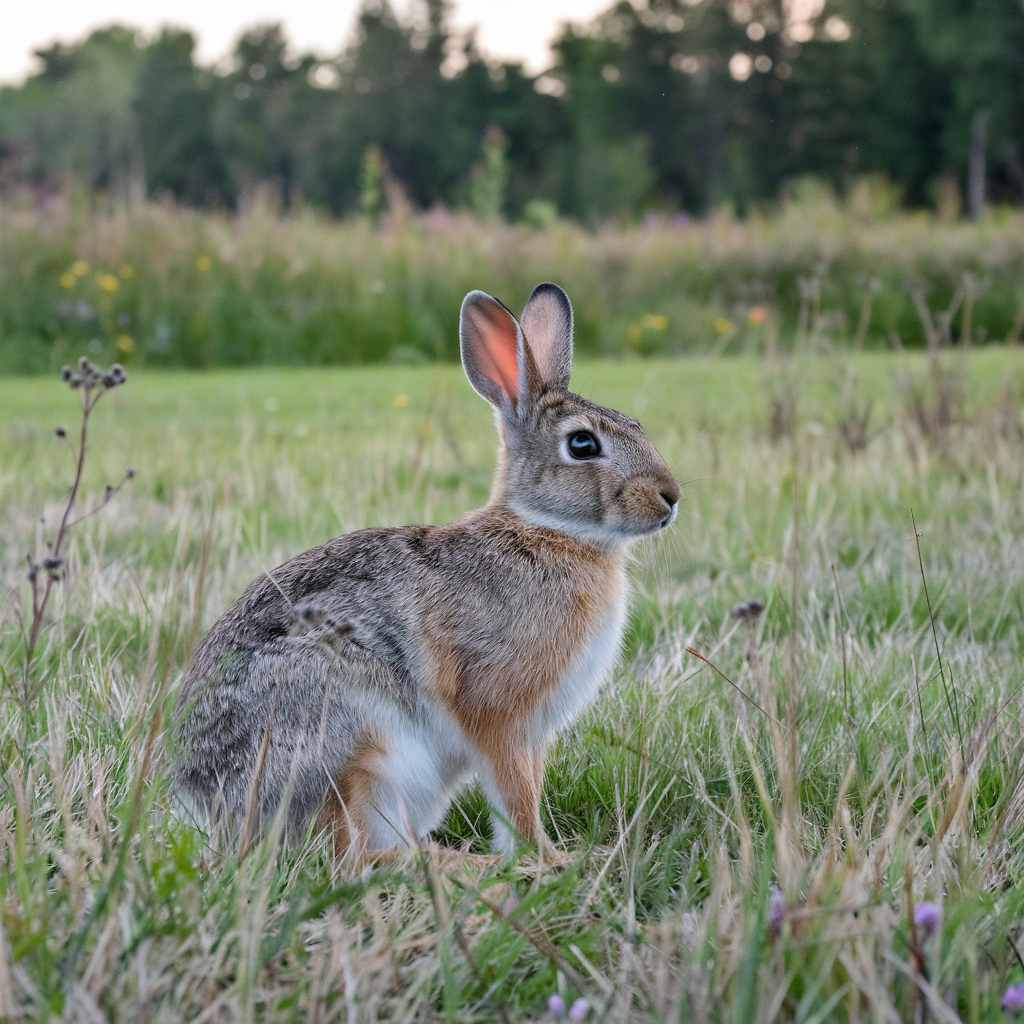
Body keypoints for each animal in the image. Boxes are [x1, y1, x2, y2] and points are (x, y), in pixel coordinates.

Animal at [174, 282, 680, 860]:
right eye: (582, 444)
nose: (671, 496)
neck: (546, 531)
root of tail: (206, 804)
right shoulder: (498, 712)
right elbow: (515, 793)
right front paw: (545, 860)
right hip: (348, 735)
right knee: (346, 856)